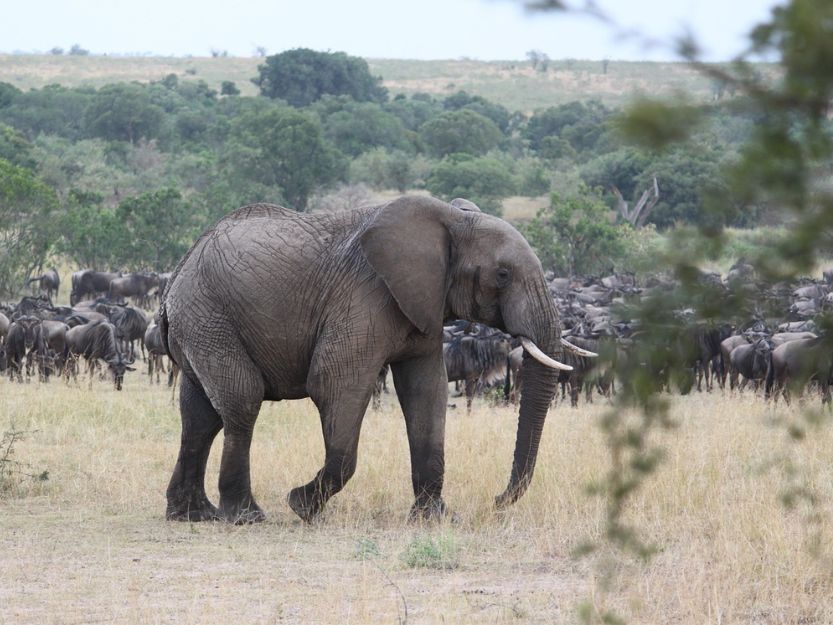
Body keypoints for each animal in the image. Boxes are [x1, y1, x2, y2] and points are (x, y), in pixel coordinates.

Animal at [159, 194, 580, 520]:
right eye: (503, 275)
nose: (496, 500)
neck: (451, 219)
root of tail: (180, 268)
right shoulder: (365, 296)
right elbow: (334, 382)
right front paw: (300, 505)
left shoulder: (424, 305)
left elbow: (427, 393)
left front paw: (435, 519)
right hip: (208, 315)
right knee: (241, 403)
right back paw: (246, 516)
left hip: (200, 322)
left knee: (200, 418)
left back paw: (193, 515)